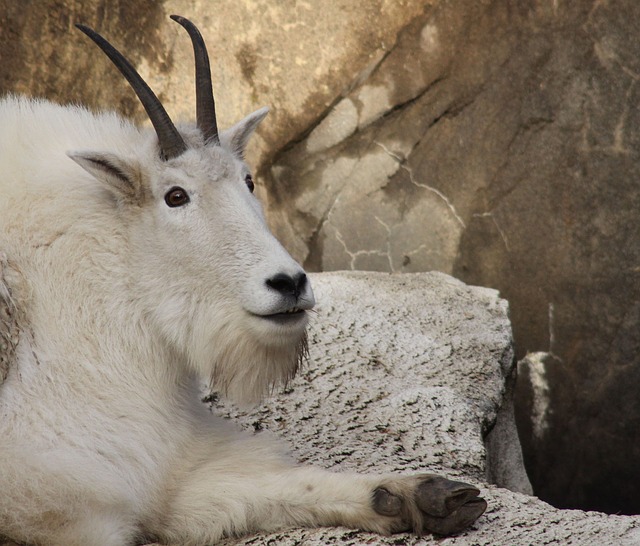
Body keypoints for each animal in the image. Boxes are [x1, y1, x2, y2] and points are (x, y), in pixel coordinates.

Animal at [0, 14, 488, 540]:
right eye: (175, 195)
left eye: (249, 180)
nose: (289, 284)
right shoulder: (64, 500)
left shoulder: (171, 467)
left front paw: (427, 495)